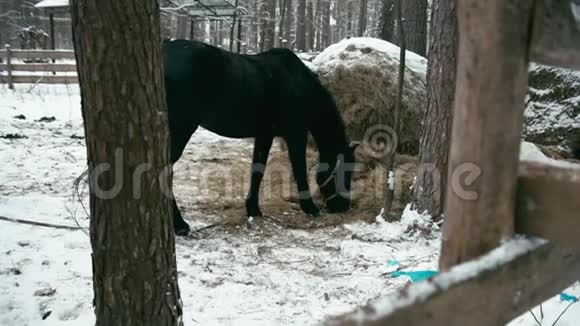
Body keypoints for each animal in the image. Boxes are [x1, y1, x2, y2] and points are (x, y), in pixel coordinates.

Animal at [161, 40, 356, 234]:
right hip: (182, 129)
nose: (343, 206)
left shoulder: (265, 135)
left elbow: (258, 171)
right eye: (345, 172)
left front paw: (253, 209)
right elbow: (299, 170)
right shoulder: (295, 134)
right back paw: (180, 225)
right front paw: (310, 208)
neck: (300, 85)